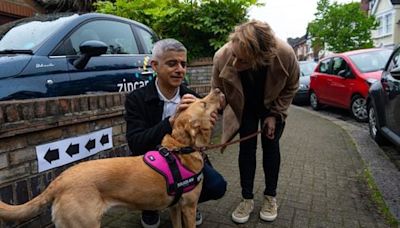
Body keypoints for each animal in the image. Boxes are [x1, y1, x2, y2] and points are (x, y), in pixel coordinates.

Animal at [0, 88, 222, 227]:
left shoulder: (175, 207)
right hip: (85, 224)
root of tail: (59, 180)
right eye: (203, 104)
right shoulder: (188, 207)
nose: (219, 90)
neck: (180, 148)